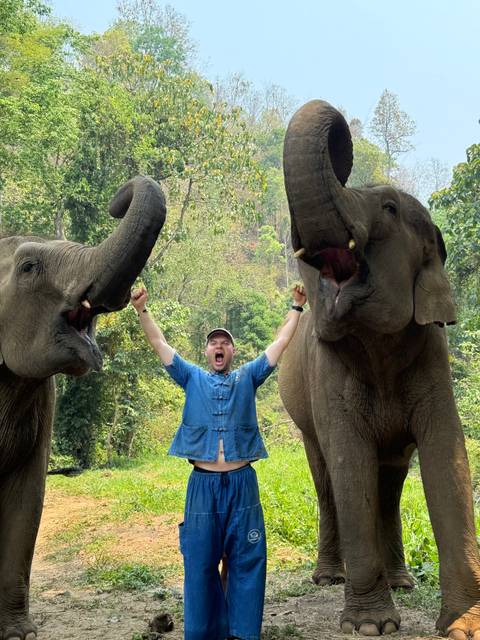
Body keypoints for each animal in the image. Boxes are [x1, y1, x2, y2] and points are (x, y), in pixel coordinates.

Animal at [278, 100, 480, 639]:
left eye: (389, 208)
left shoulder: (433, 355)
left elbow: (448, 459)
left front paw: (463, 626)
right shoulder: (328, 372)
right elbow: (350, 466)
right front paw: (371, 626)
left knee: (390, 485)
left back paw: (403, 581)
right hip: (303, 415)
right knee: (327, 480)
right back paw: (330, 577)